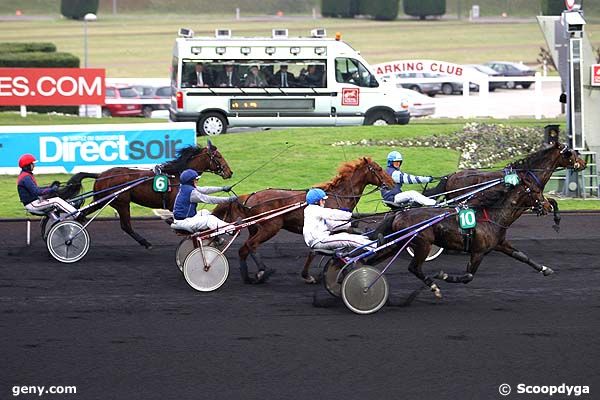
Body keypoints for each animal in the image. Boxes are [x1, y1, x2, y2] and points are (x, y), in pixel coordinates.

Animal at [85, 141, 233, 247]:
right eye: (219, 156)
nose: (230, 172)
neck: (178, 175)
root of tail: (100, 175)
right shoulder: (175, 206)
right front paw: (216, 238)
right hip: (122, 203)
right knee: (126, 226)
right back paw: (146, 243)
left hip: (101, 200)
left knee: (83, 214)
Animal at [213, 157, 396, 284]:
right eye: (379, 169)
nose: (392, 182)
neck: (338, 195)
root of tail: (249, 197)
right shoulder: (332, 228)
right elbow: (318, 250)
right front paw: (309, 276)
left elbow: (317, 250)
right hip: (271, 227)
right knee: (251, 245)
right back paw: (262, 271)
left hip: (255, 229)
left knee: (243, 249)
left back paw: (248, 277)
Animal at [370, 144, 584, 300]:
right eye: (571, 153)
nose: (582, 163)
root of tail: (451, 175)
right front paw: (555, 219)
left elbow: (523, 253)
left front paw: (545, 266)